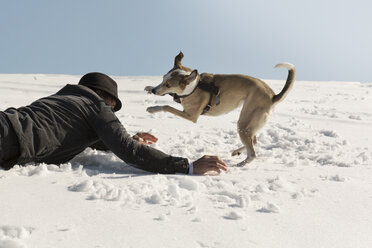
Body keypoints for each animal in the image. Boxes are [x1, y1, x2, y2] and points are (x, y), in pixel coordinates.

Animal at [145, 51, 296, 166]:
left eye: (168, 85)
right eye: (163, 78)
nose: (154, 91)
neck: (195, 86)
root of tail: (272, 96)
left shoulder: (191, 116)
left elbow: (167, 106)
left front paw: (153, 108)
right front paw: (148, 88)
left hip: (244, 122)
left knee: (252, 153)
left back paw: (240, 164)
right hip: (250, 124)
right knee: (254, 141)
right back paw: (237, 152)